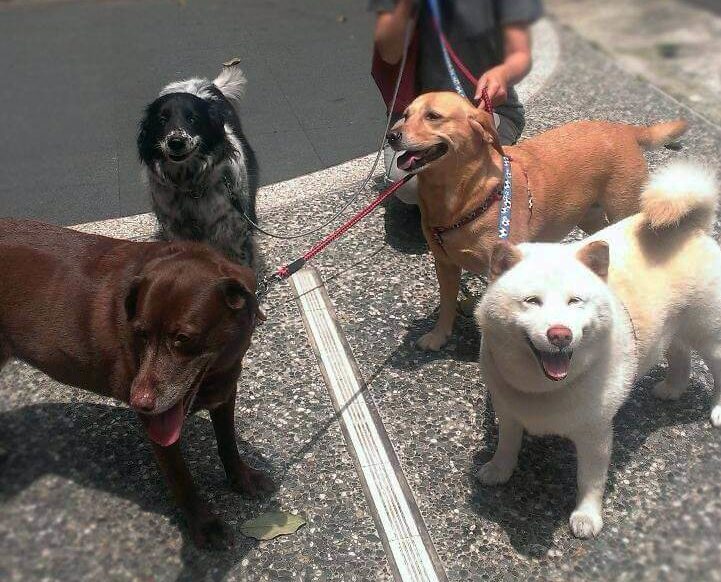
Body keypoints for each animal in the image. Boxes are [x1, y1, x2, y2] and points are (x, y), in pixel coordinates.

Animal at [138, 65, 258, 270]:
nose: (176, 142)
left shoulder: (231, 228)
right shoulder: (177, 230)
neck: (189, 185)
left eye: (193, 119)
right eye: (161, 120)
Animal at [388, 91, 688, 352]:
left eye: (433, 116)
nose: (391, 135)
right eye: (405, 114)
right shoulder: (445, 264)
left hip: (622, 208)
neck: (465, 197)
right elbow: (448, 303)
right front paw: (439, 335)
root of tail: (624, 129)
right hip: (588, 216)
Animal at [472, 159, 720, 540]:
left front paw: (587, 517)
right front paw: (499, 470)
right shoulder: (508, 410)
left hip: (708, 333)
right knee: (679, 353)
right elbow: (507, 443)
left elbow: (590, 480)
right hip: (671, 325)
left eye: (575, 301)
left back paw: (718, 409)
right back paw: (672, 388)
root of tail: (691, 228)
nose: (560, 334)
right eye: (532, 301)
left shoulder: (595, 433)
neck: (543, 391)